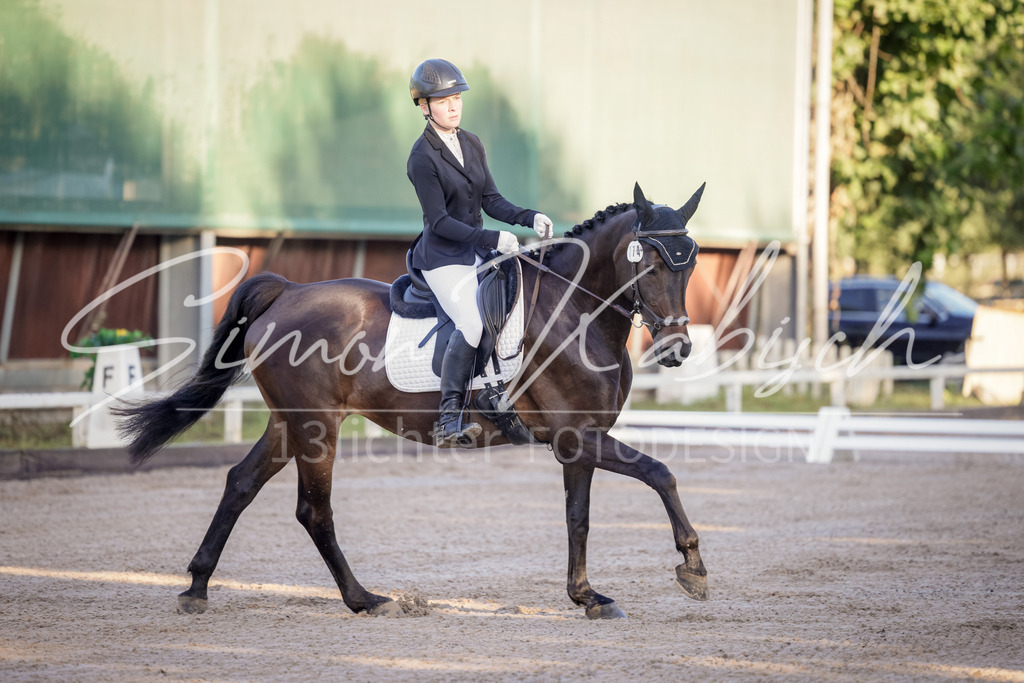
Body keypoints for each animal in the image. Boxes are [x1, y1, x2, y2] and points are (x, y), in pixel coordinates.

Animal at [116, 181, 709, 620]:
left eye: (691, 264)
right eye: (652, 265)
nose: (677, 349)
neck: (574, 312)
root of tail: (288, 291)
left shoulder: (580, 440)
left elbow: (578, 518)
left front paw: (587, 597)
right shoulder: (576, 435)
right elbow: (660, 473)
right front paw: (693, 568)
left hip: (288, 423)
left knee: (241, 483)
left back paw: (197, 587)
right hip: (316, 427)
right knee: (314, 510)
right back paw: (364, 599)